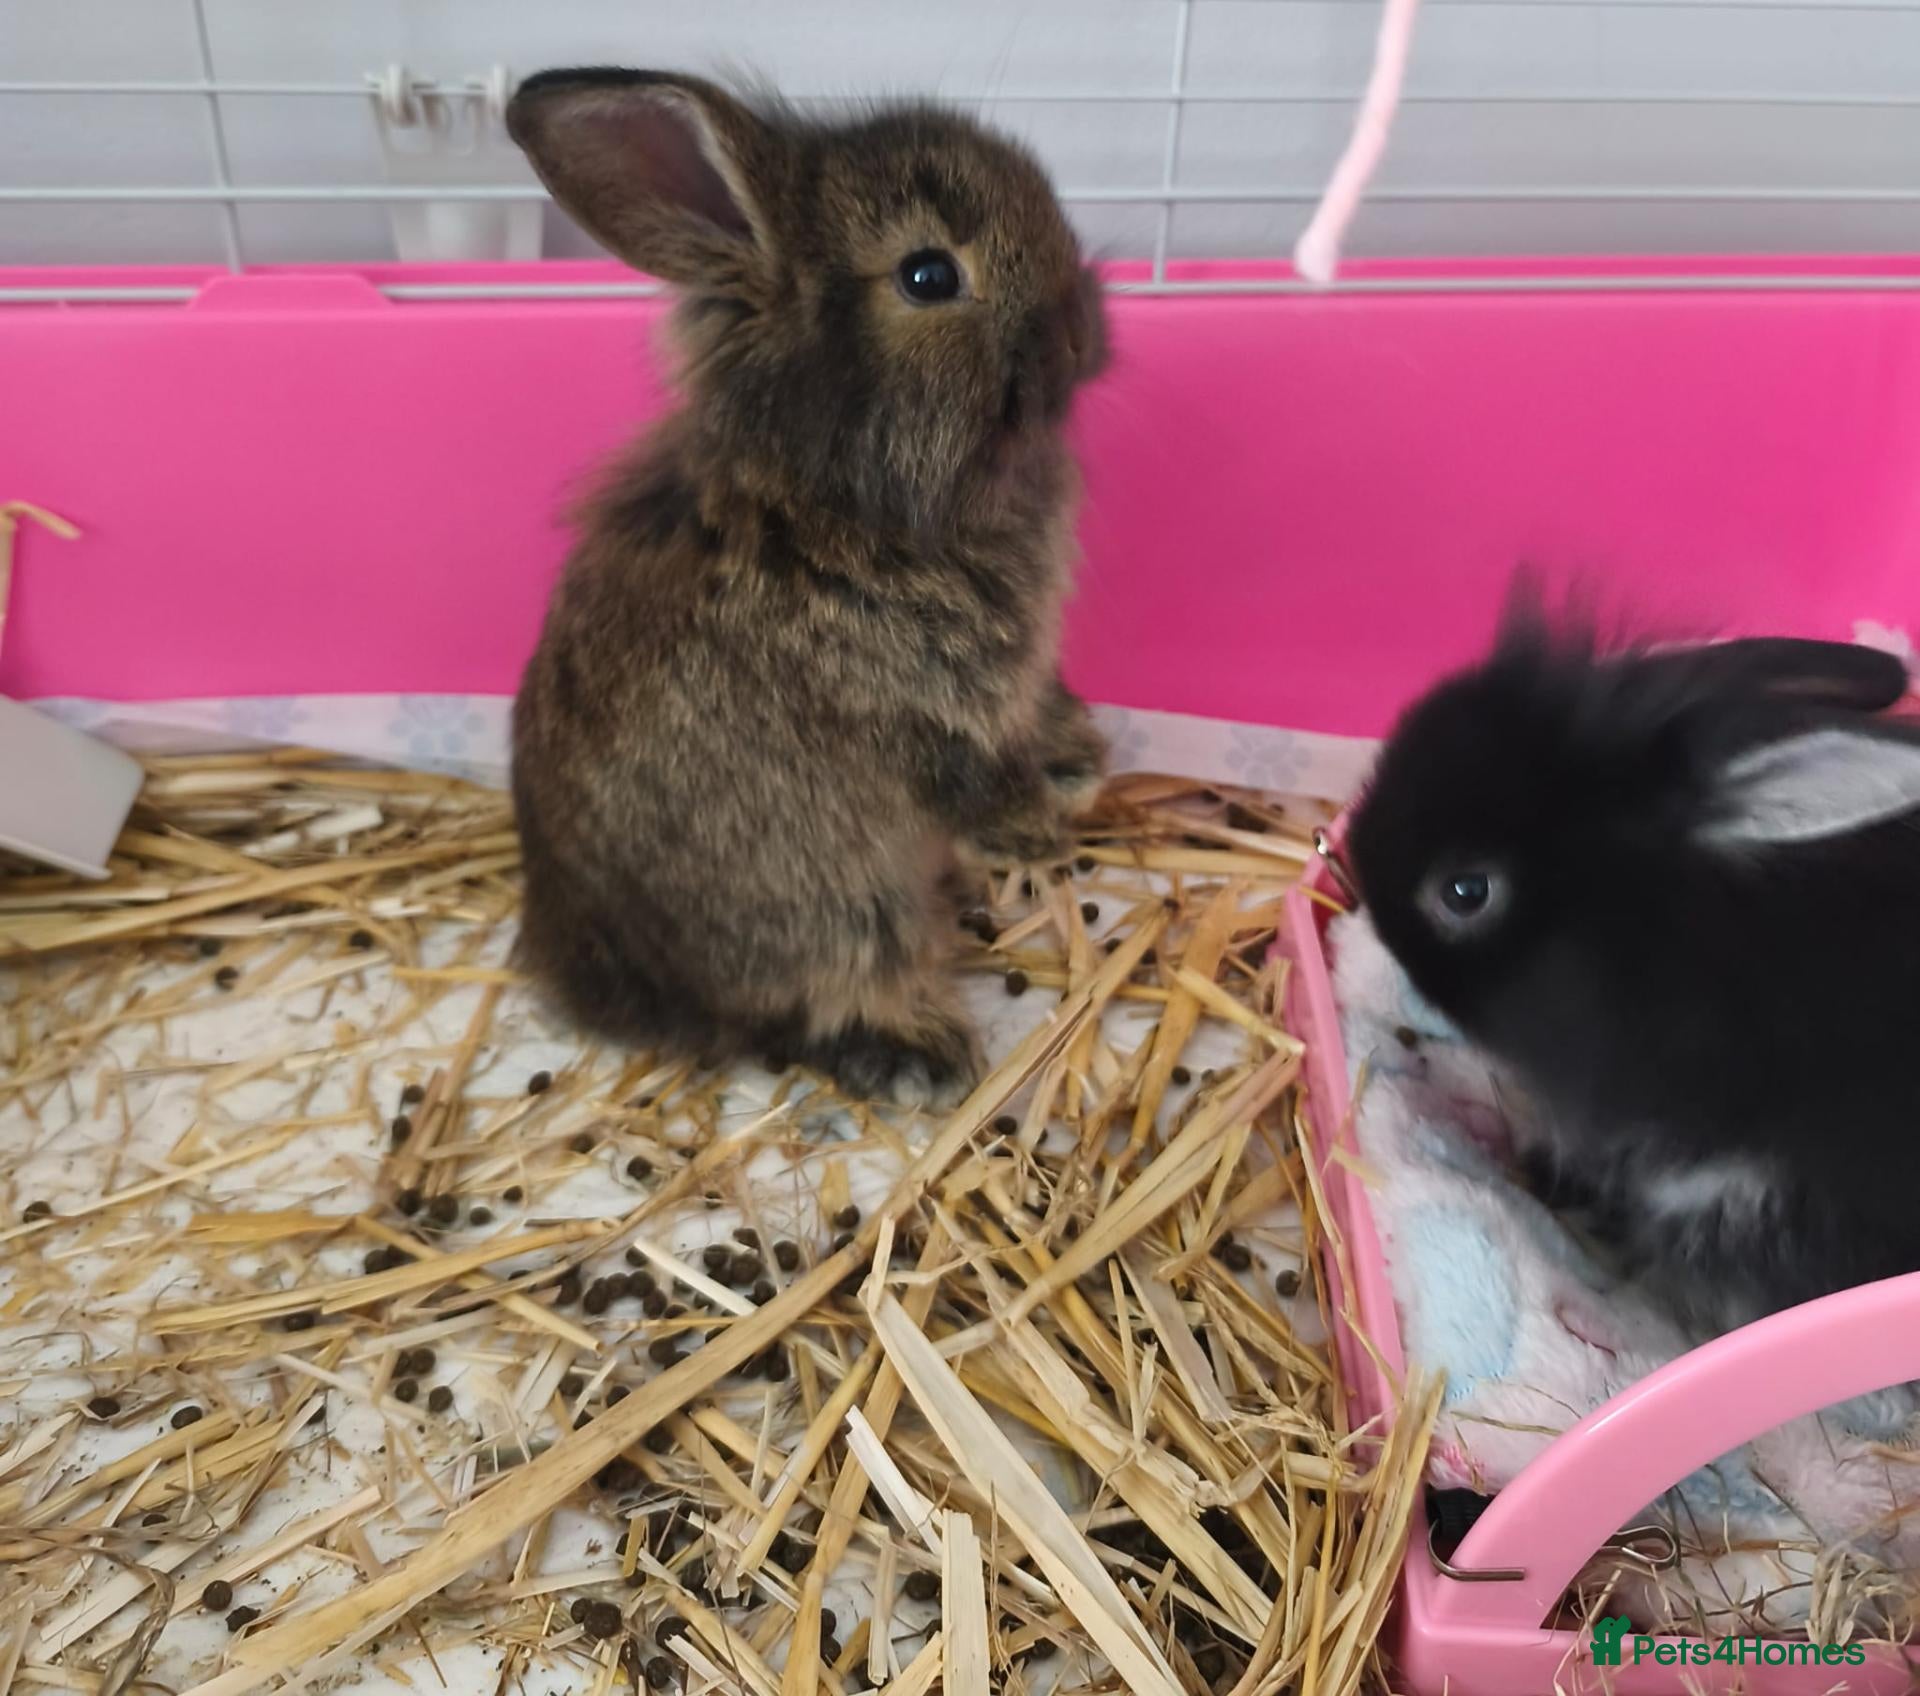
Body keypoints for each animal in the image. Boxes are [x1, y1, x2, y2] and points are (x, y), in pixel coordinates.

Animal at [504, 68, 1110, 1106]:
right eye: (928, 276)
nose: (1081, 336)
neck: (840, 488)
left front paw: (1081, 756)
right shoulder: (916, 710)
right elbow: (974, 784)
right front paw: (1039, 834)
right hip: (841, 909)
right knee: (816, 1001)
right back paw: (918, 1046)